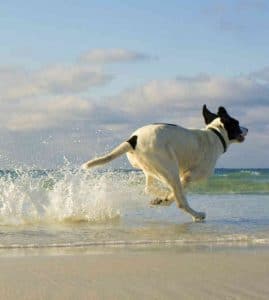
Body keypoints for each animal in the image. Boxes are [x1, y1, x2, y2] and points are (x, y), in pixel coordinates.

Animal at [81, 105, 247, 220]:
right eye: (237, 123)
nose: (246, 129)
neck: (215, 134)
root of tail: (133, 140)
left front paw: (162, 199)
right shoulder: (188, 176)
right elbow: (177, 194)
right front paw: (166, 199)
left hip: (152, 169)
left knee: (150, 188)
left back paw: (160, 198)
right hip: (169, 169)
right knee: (180, 201)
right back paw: (196, 214)